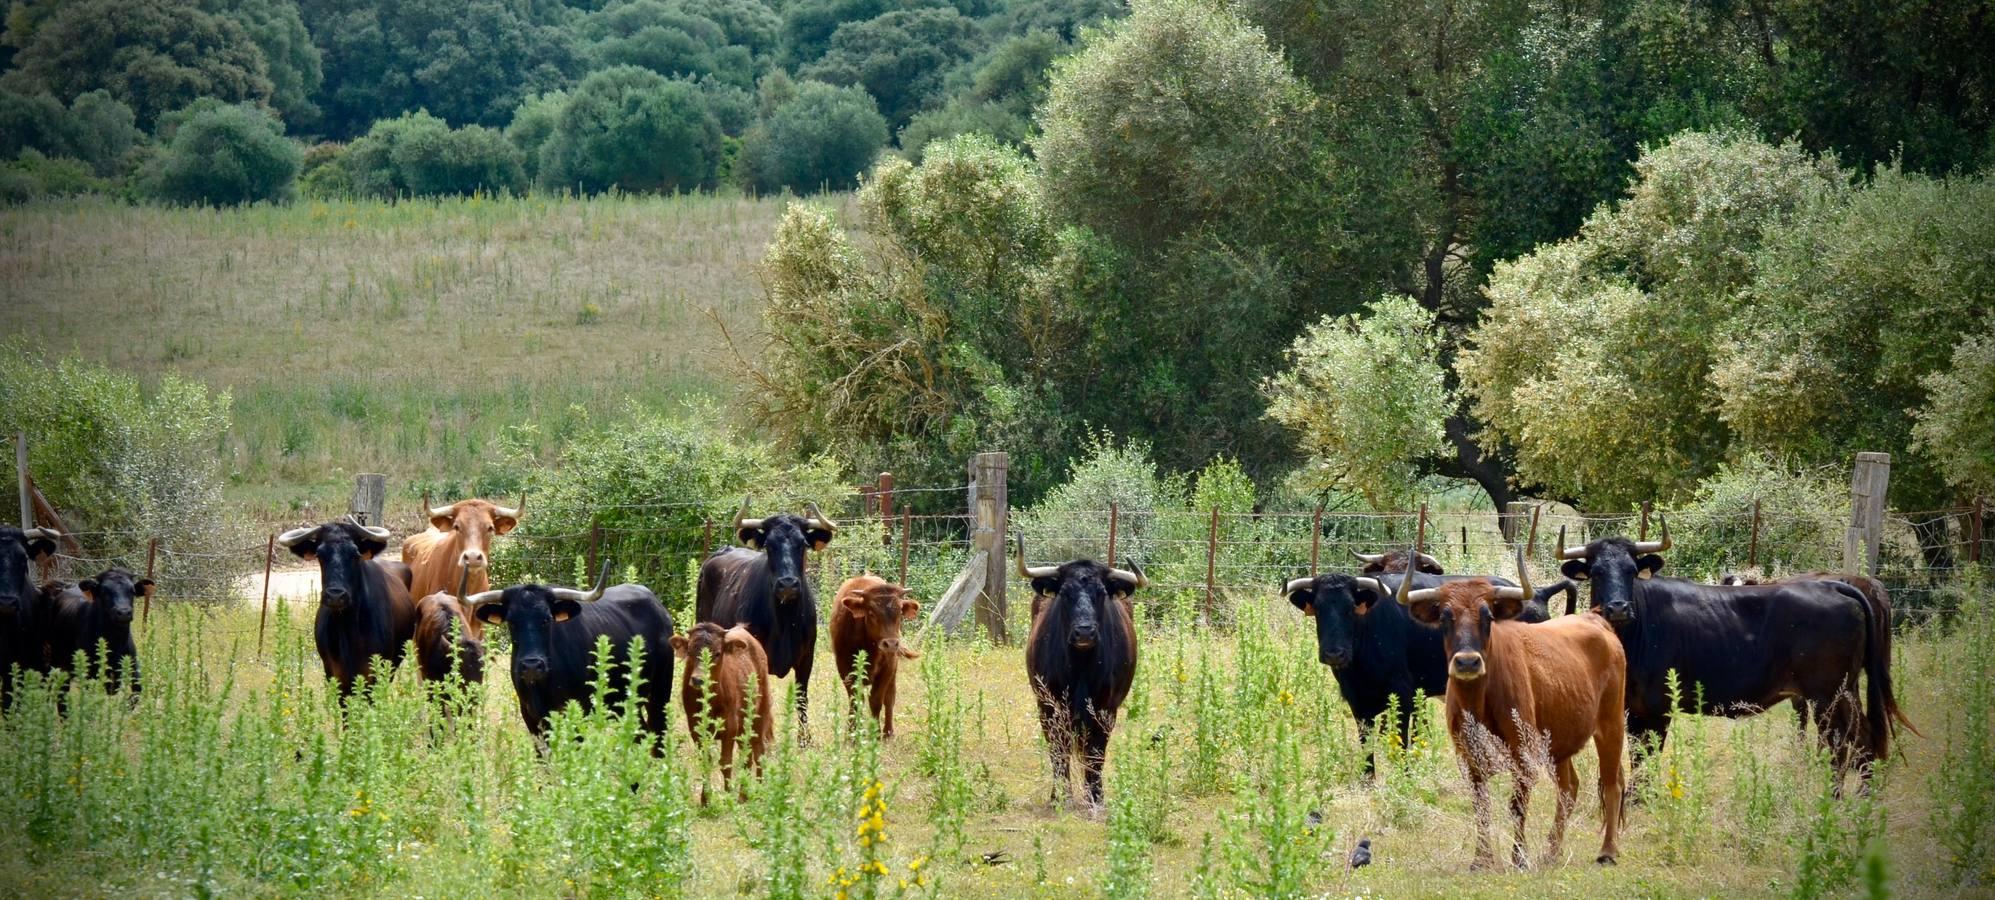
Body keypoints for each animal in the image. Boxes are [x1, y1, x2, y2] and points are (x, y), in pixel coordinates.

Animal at [670, 618, 762, 802]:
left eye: (718, 653)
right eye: (689, 651)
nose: (698, 680)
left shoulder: (730, 726)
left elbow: (725, 762)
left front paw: (727, 796)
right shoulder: (695, 728)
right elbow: (706, 760)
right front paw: (705, 800)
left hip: (760, 714)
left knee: (759, 752)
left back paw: (761, 790)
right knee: (747, 756)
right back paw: (743, 796)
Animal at [825, 578, 917, 738]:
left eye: (900, 612)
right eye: (871, 612)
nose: (891, 644)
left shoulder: (888, 668)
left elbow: (876, 700)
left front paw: (875, 733)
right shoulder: (845, 669)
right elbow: (856, 701)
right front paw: (852, 734)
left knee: (890, 698)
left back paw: (888, 733)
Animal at [1396, 546, 1627, 870]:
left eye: (1488, 617)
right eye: (1444, 618)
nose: (1467, 662)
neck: (1478, 703)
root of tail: (1595, 619)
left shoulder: (1523, 755)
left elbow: (1516, 806)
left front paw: (1519, 858)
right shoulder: (1469, 759)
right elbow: (1481, 806)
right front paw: (1481, 860)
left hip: (1611, 724)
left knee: (1611, 784)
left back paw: (1608, 851)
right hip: (1559, 743)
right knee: (1569, 788)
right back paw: (1551, 852)